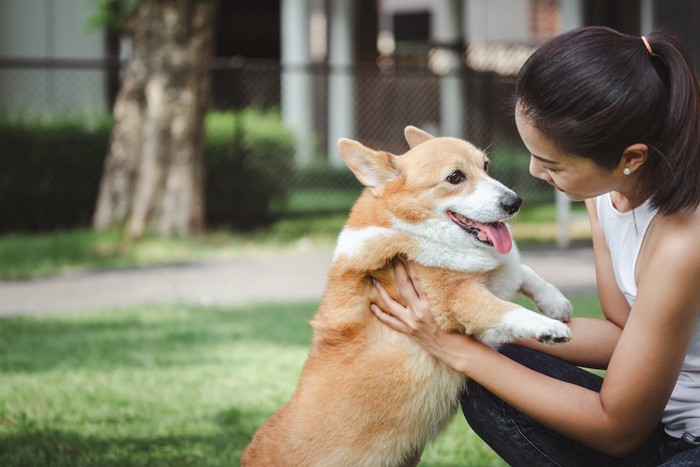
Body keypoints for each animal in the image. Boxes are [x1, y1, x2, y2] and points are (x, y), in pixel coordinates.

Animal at [243, 127, 572, 467]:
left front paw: (554, 302)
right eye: (455, 177)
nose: (514, 202)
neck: (415, 228)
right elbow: (505, 307)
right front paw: (548, 327)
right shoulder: (457, 300)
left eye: (486, 166)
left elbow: (521, 270)